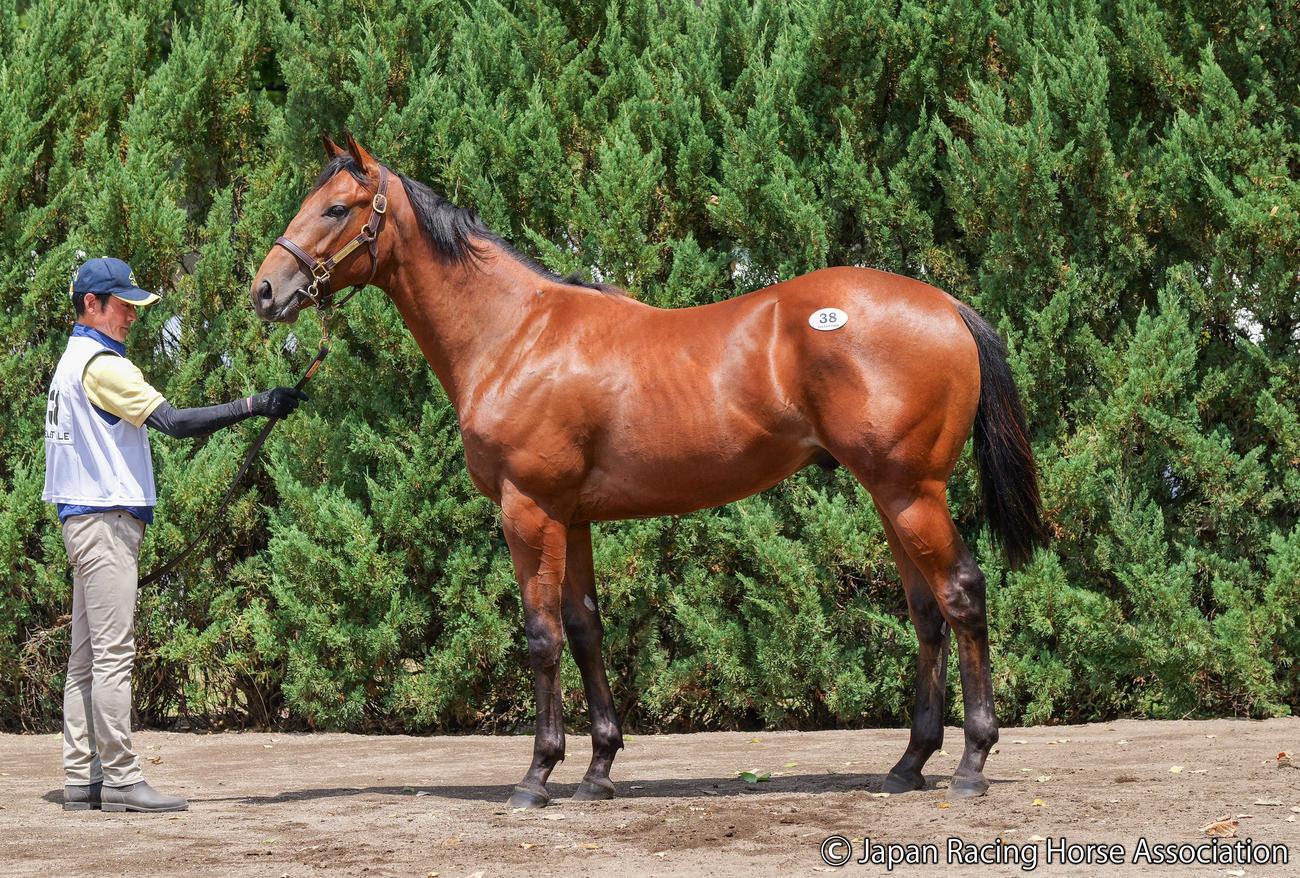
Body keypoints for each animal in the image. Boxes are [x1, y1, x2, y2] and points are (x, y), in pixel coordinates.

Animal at [251, 135, 1047, 808]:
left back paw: (971, 766)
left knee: (962, 594)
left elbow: (541, 635)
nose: (265, 291)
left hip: (910, 493)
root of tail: (947, 305)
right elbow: (585, 628)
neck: (515, 335)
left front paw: (537, 777)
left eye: (336, 208)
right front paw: (598, 771)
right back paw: (907, 765)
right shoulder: (571, 516)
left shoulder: (528, 509)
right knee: (926, 612)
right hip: (890, 496)